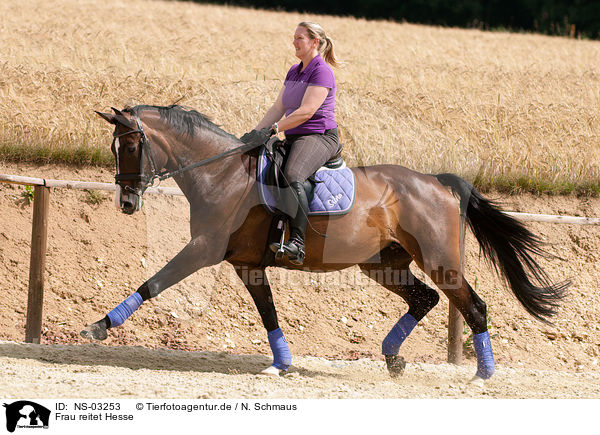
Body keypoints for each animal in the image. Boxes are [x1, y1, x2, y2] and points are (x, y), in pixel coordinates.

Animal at [82, 104, 568, 382]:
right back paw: (393, 359)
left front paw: (100, 326)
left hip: (439, 260)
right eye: (115, 148)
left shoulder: (204, 249)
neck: (220, 174)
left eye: (130, 146)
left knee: (473, 305)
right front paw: (280, 363)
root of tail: (438, 182)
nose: (127, 202)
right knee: (425, 299)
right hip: (383, 263)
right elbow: (268, 313)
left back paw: (483, 374)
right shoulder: (247, 263)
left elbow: (154, 283)